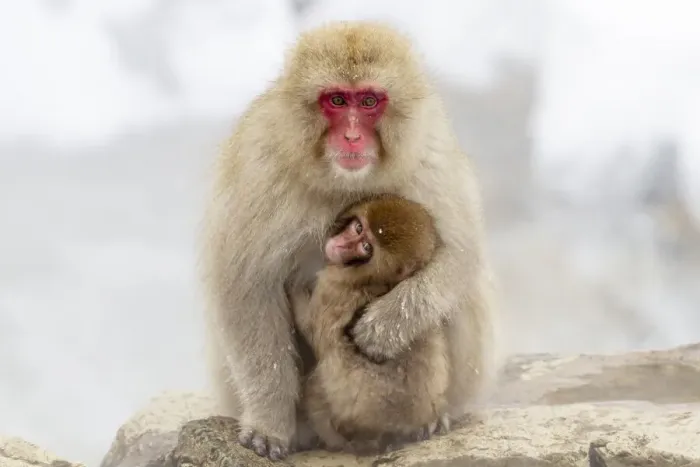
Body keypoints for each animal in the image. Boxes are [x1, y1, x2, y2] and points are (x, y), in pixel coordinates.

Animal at [291, 194, 450, 455]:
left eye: (366, 248)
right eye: (358, 228)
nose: (341, 245)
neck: (370, 280)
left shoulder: (332, 291)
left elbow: (312, 331)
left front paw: (292, 287)